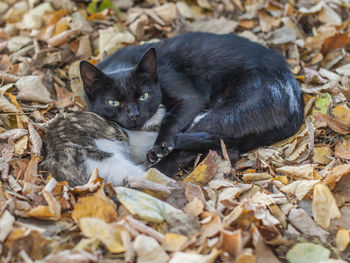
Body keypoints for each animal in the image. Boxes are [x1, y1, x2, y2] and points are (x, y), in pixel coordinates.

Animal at [79, 32, 304, 175]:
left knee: (212, 147)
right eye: (113, 102)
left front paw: (161, 145)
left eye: (143, 96)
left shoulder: (189, 96)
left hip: (226, 113)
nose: (134, 115)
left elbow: (171, 118)